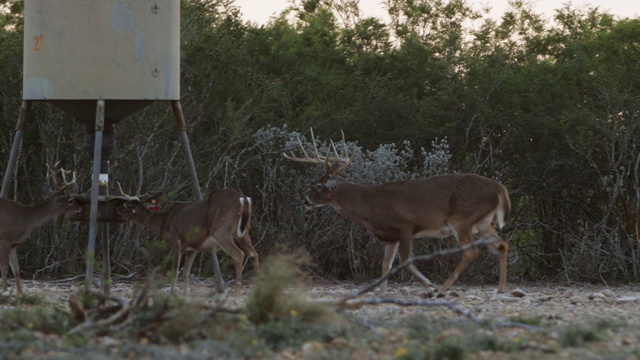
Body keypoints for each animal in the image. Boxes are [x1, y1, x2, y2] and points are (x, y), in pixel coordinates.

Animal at [0, 165, 81, 294]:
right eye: (70, 200)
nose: (81, 207)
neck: (26, 220)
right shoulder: (4, 239)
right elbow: (4, 268)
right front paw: (5, 291)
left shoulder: (14, 244)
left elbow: (16, 269)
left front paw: (20, 293)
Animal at [115, 188, 258, 296]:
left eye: (127, 207)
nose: (118, 212)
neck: (162, 223)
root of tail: (244, 199)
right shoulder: (192, 248)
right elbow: (186, 272)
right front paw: (184, 294)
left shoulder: (175, 242)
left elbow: (175, 271)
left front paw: (173, 293)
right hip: (242, 233)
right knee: (253, 254)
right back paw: (258, 287)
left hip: (221, 231)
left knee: (239, 254)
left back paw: (237, 292)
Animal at [284, 130, 510, 296]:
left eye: (317, 186)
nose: (305, 201)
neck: (369, 206)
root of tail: (500, 188)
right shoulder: (389, 236)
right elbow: (386, 264)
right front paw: (381, 292)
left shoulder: (405, 226)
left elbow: (405, 261)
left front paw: (429, 286)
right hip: (484, 222)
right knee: (501, 245)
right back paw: (500, 288)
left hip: (463, 218)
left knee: (471, 251)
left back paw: (443, 288)